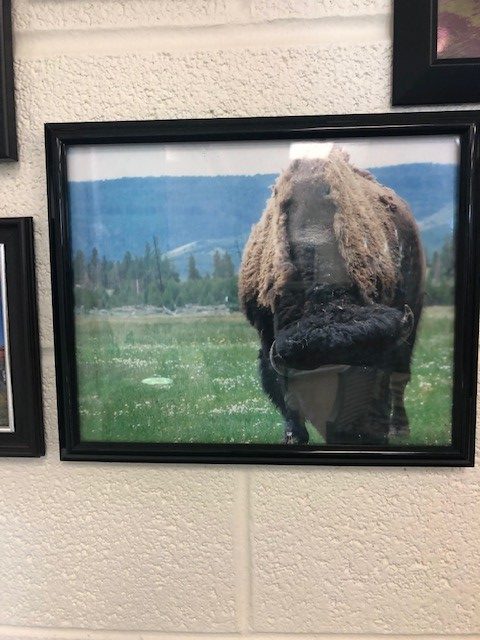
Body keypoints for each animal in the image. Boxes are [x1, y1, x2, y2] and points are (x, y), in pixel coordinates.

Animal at [239, 147, 424, 442]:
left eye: (376, 374)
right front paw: (293, 436)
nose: (362, 436)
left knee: (401, 376)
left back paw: (400, 429)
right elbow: (282, 390)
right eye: (321, 391)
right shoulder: (268, 336)